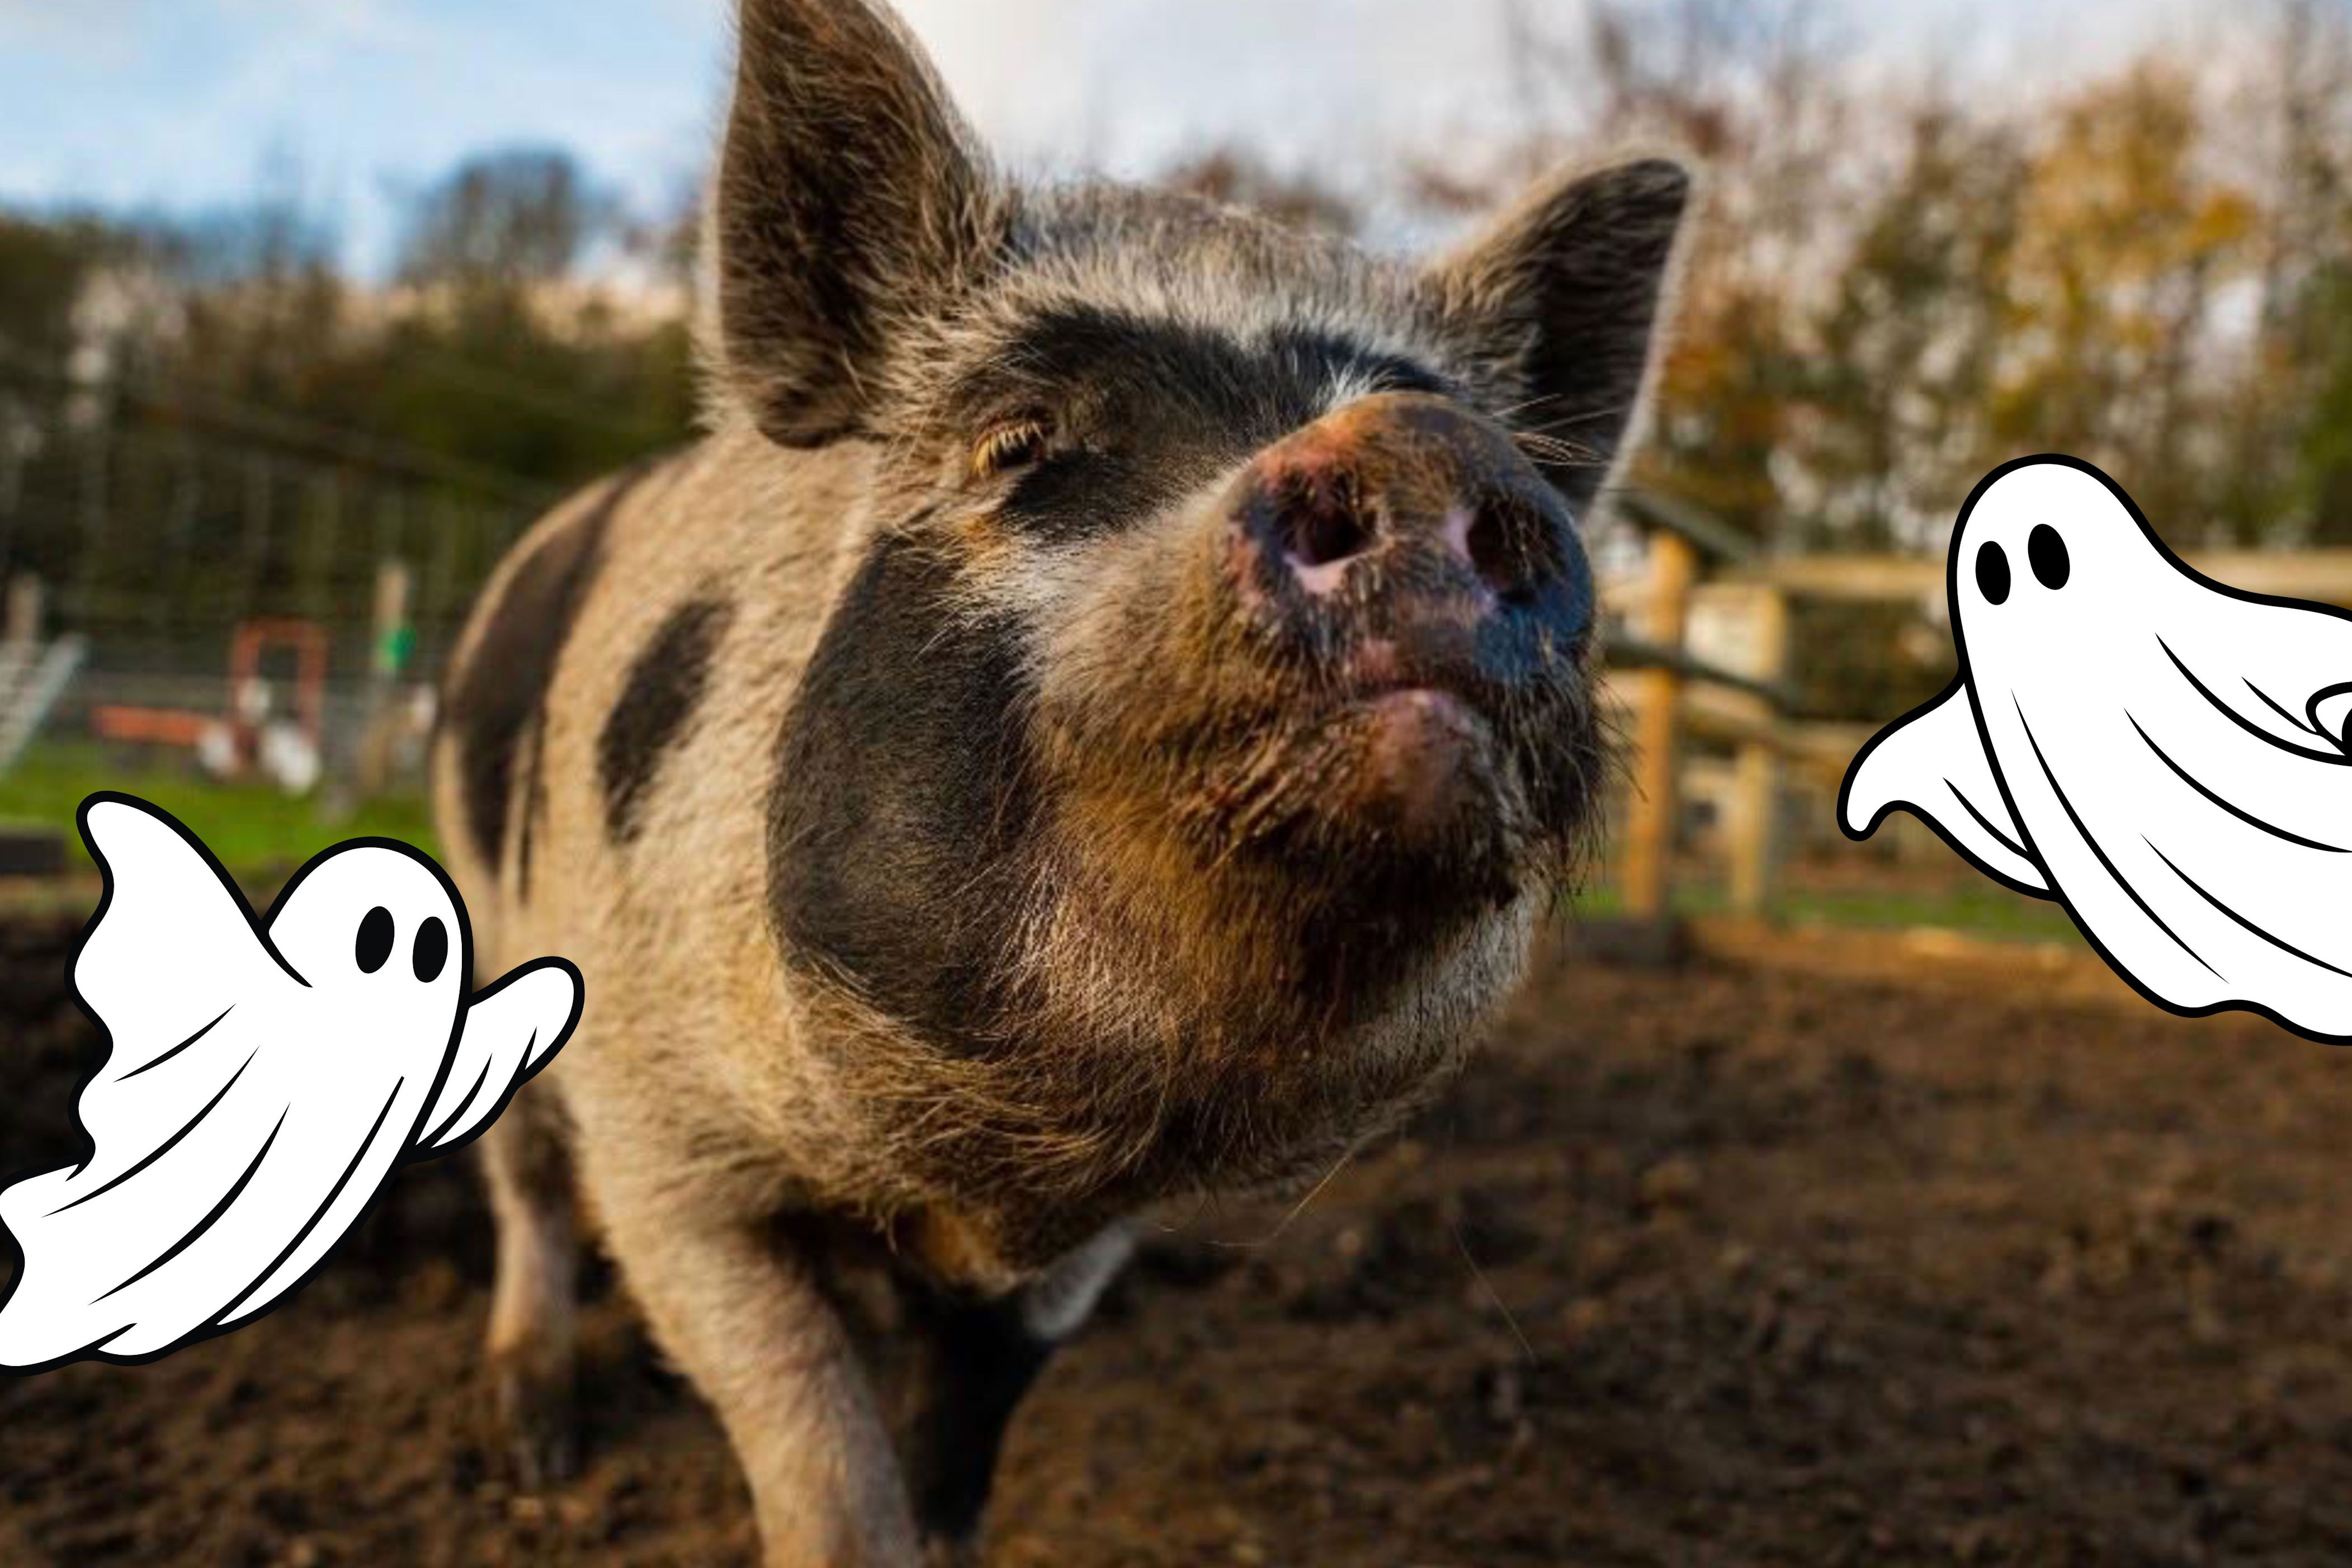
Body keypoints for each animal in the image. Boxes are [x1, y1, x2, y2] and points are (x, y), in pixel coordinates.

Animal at [430, 0, 1690, 1560]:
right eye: (1017, 441)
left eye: (1439, 417)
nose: (1425, 442)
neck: (971, 1179)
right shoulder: (664, 1145)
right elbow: (814, 1440)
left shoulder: (1075, 1258)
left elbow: (963, 1432)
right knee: (528, 1189)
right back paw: (535, 1440)